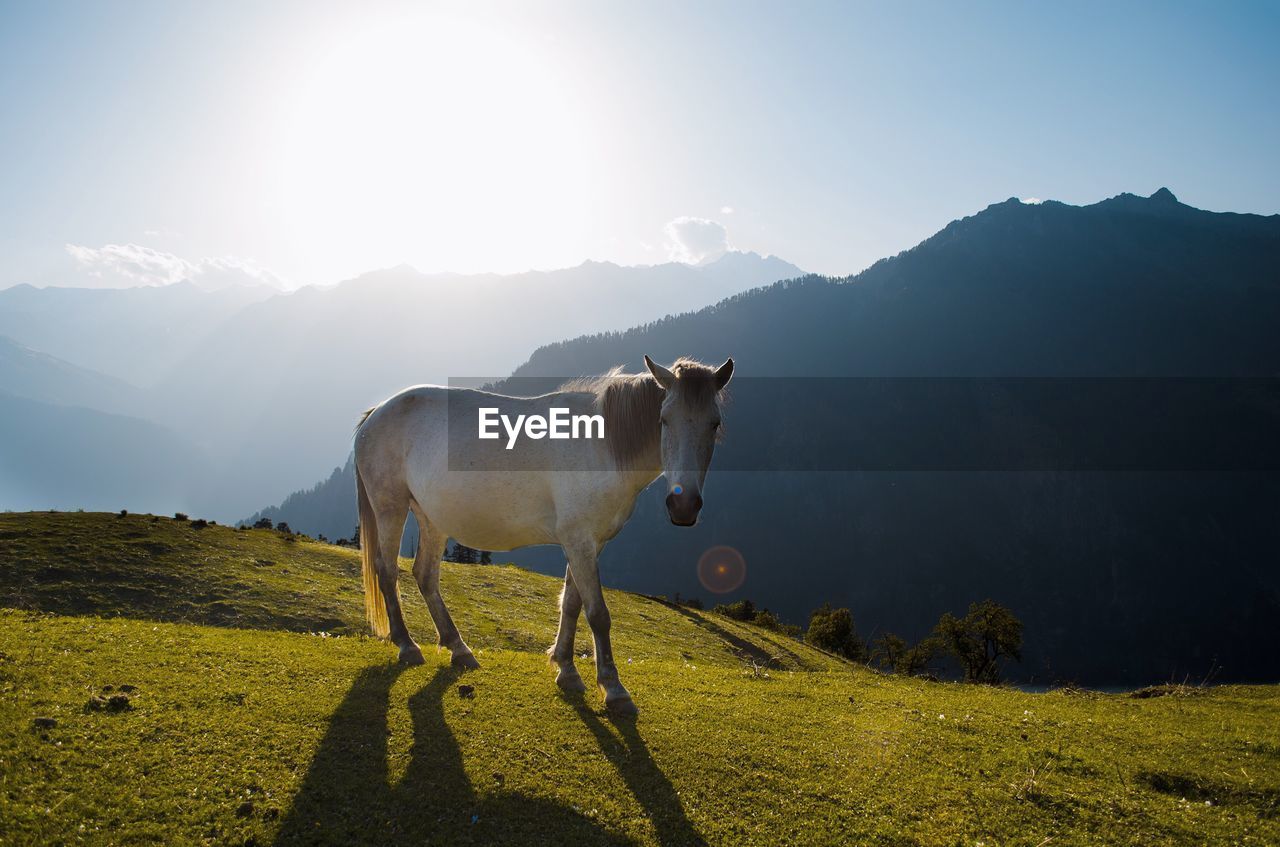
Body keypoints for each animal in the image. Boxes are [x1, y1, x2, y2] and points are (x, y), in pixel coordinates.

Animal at [353, 353, 732, 716]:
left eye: (714, 424)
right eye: (664, 420)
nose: (683, 505)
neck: (603, 444)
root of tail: (375, 415)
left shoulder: (588, 542)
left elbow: (572, 604)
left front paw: (566, 669)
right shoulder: (578, 540)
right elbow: (597, 613)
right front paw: (613, 689)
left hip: (431, 517)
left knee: (425, 575)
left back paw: (459, 649)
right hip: (390, 507)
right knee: (387, 571)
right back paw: (407, 645)